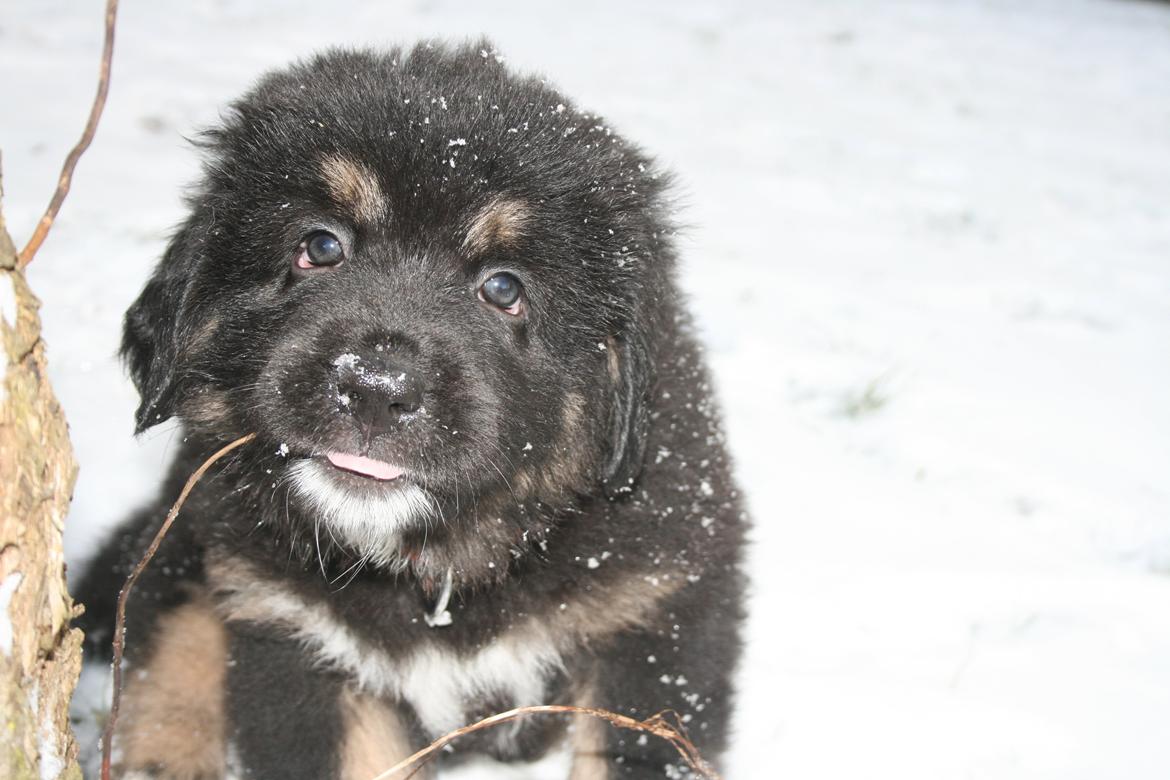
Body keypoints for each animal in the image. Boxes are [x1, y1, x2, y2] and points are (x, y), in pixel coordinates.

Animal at [80, 42, 748, 780]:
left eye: (504, 289)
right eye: (320, 247)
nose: (374, 388)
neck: (440, 573)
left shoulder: (653, 623)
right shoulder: (298, 636)